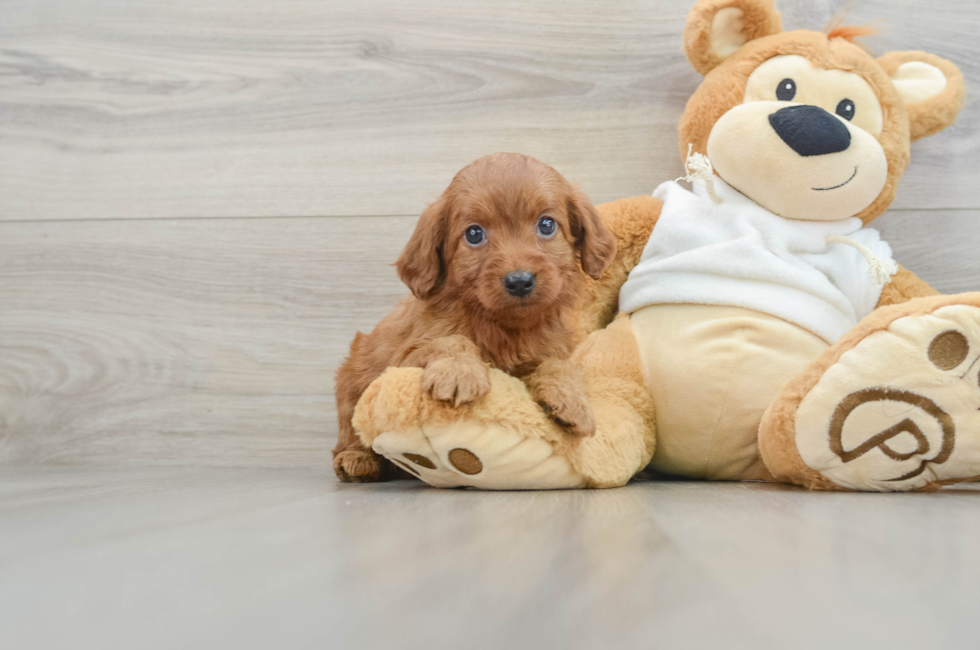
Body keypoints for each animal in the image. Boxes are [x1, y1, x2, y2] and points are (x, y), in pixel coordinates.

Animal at [334, 151, 616, 476]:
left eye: (546, 225)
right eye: (474, 234)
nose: (519, 281)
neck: (502, 326)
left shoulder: (548, 349)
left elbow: (560, 365)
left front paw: (572, 400)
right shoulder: (402, 358)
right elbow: (450, 340)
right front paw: (459, 371)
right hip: (352, 380)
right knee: (349, 428)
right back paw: (355, 459)